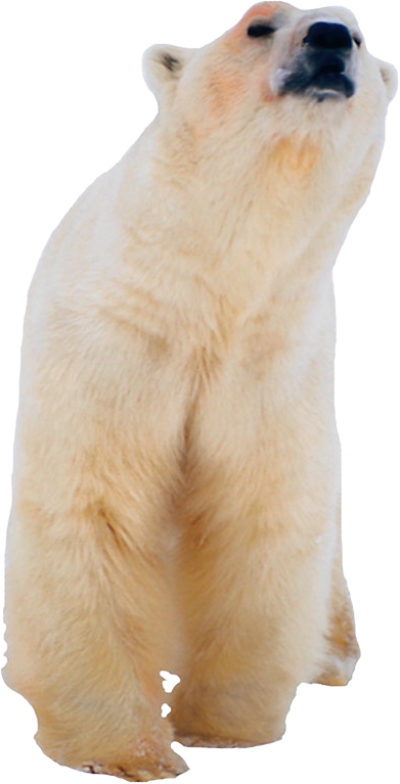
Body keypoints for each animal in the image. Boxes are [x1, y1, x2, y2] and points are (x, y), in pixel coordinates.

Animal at [2, 2, 398, 781]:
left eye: (362, 37)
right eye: (258, 24)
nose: (330, 40)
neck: (213, 293)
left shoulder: (274, 360)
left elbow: (258, 515)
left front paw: (224, 726)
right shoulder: (117, 341)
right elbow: (92, 511)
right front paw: (128, 753)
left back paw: (333, 656)